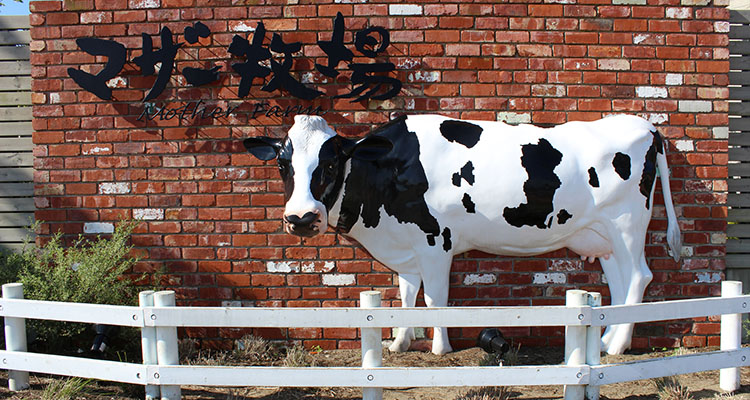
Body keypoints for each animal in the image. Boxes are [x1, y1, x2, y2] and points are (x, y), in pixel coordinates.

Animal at [245, 114, 680, 354]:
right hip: (604, 237)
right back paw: (607, 340)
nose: (301, 218)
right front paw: (399, 343)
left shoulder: (436, 241)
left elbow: (434, 299)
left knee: (639, 276)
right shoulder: (407, 247)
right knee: (619, 282)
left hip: (627, 224)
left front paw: (440, 348)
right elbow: (406, 295)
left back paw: (617, 345)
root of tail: (646, 125)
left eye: (333, 161)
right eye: (283, 164)